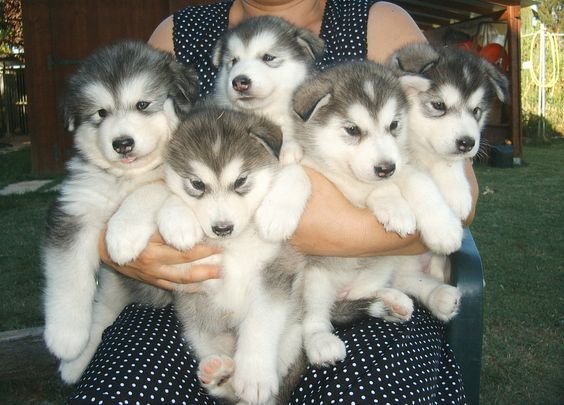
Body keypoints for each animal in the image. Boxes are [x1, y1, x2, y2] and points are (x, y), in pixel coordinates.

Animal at [41, 38, 198, 378]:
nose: (122, 143)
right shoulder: (75, 208)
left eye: (142, 105)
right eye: (101, 112)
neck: (127, 177)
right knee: (102, 313)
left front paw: (123, 237)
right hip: (112, 286)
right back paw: (74, 362)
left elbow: (147, 191)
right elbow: (67, 274)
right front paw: (65, 336)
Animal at [290, 60, 462, 366]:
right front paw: (395, 206)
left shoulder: (404, 167)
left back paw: (406, 299)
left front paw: (443, 228)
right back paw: (321, 341)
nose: (385, 168)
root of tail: (343, 290)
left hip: (383, 263)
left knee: (383, 287)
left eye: (393, 125)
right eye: (352, 130)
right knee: (315, 314)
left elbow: (419, 183)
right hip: (314, 279)